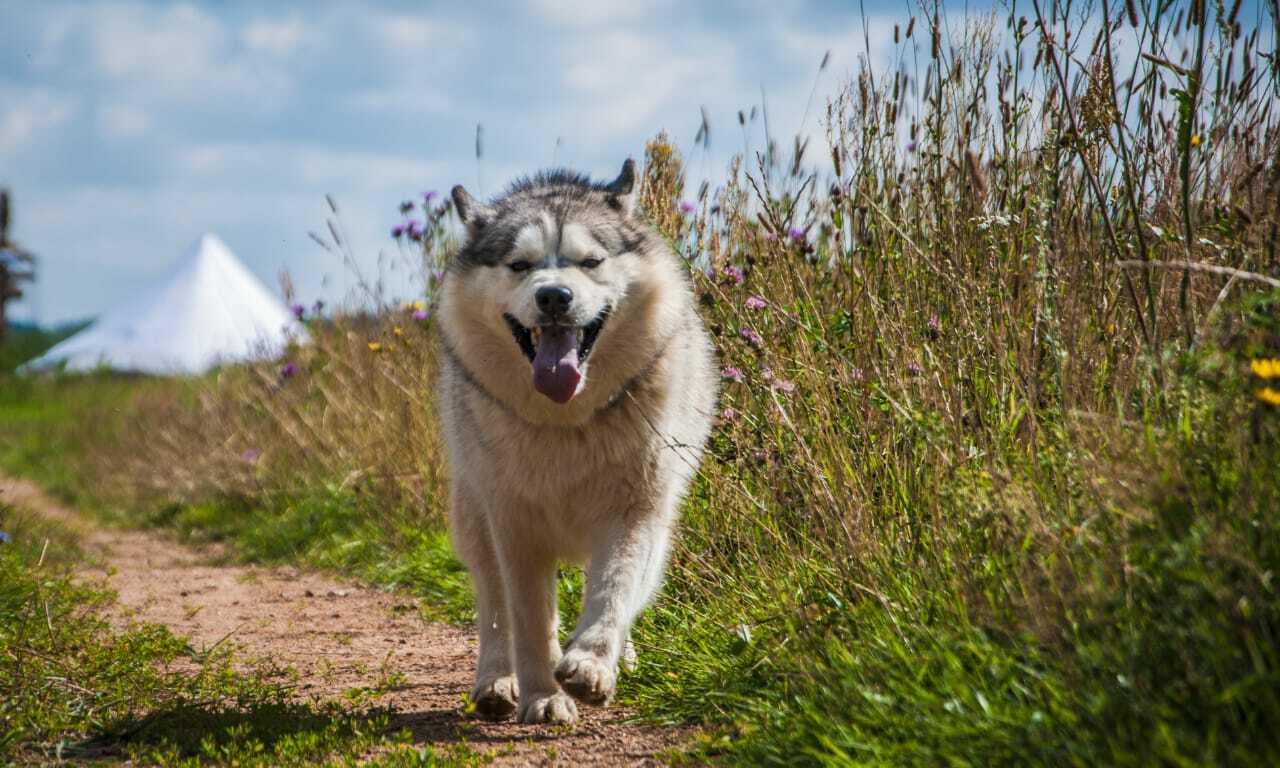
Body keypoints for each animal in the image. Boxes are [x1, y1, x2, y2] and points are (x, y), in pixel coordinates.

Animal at [437, 158, 721, 721]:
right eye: (519, 265)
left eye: (590, 262)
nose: (554, 296)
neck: (564, 421)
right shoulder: (515, 526)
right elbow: (527, 619)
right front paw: (543, 694)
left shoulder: (637, 511)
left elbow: (613, 589)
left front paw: (591, 663)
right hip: (474, 515)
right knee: (494, 605)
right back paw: (497, 681)